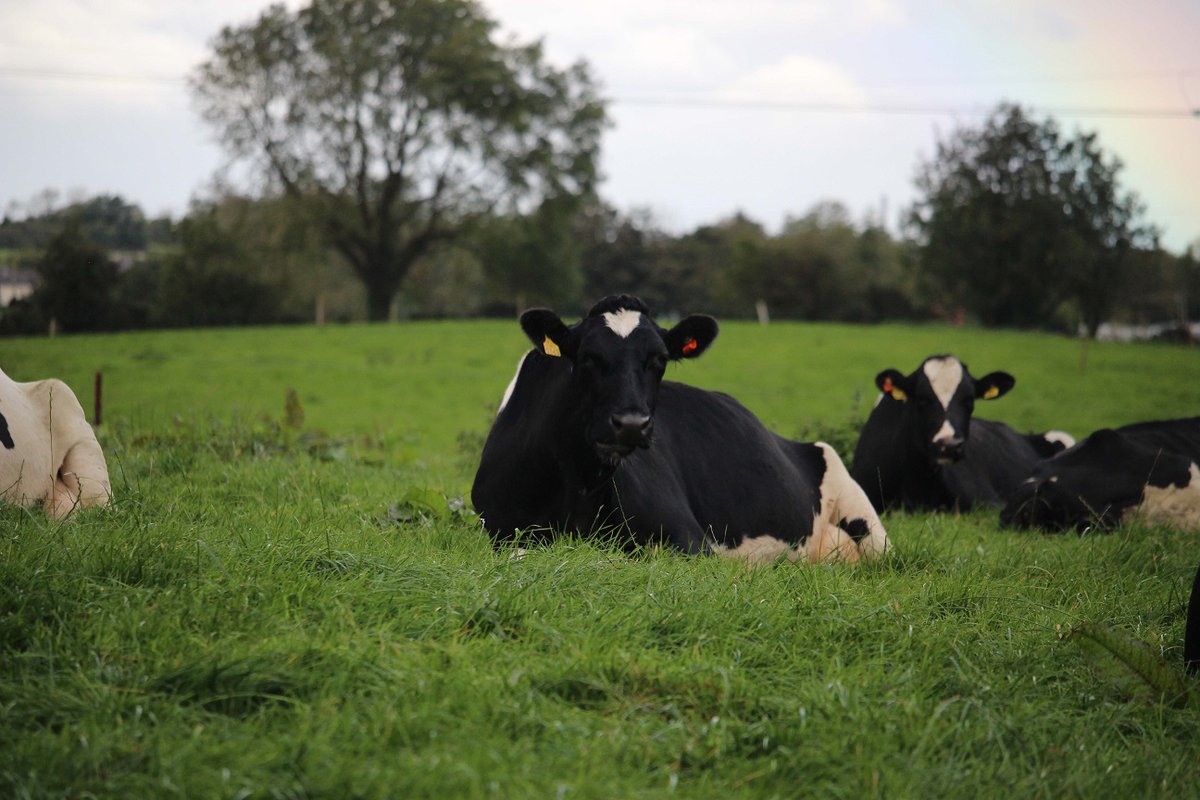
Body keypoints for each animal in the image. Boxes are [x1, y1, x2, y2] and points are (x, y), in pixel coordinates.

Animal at [470, 295, 889, 564]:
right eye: (588, 357)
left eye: (659, 360)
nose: (631, 424)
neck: (578, 486)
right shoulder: (500, 529)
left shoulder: (689, 541)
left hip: (869, 526)